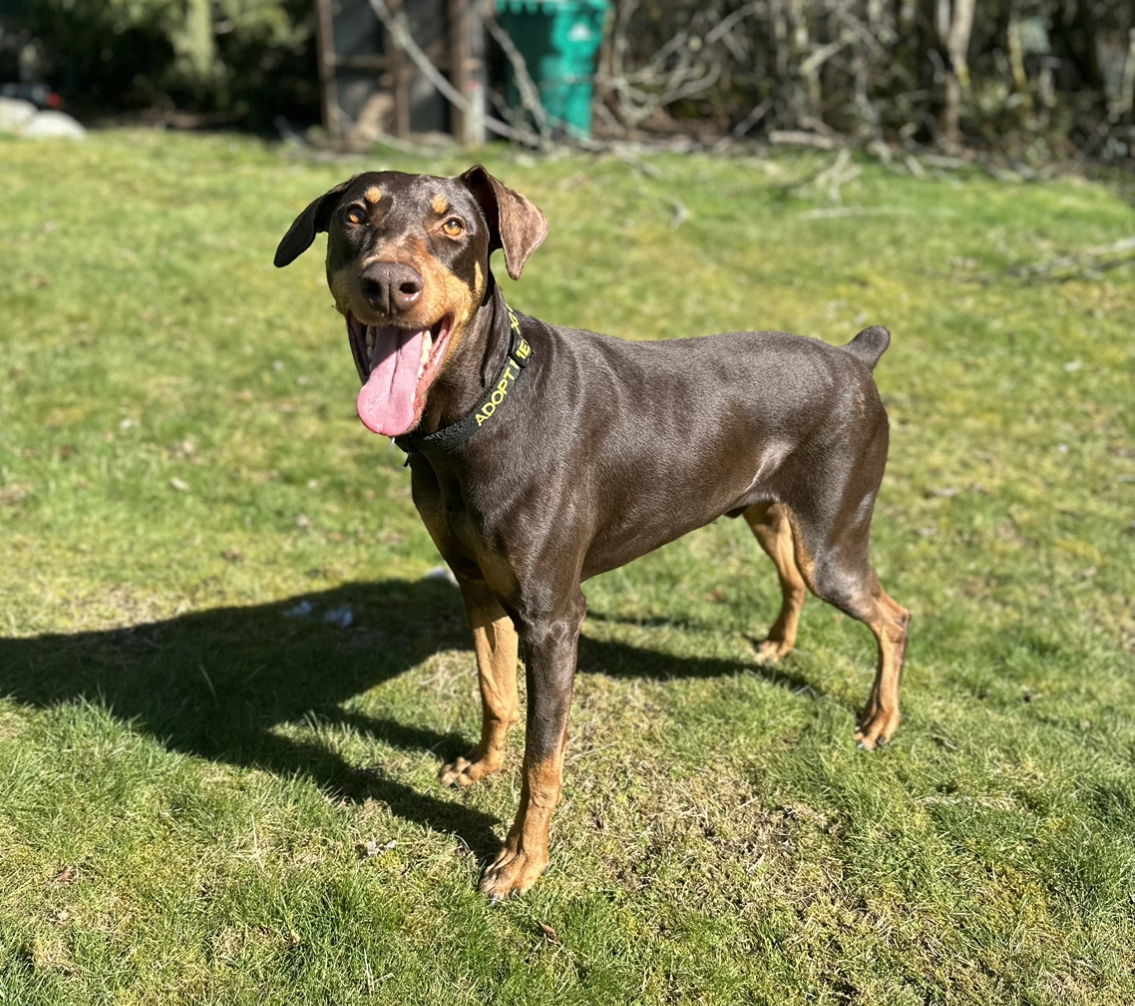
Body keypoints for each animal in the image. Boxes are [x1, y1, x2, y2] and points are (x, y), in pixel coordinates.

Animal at [270, 165, 908, 899]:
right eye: (353, 214)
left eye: (452, 225)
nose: (388, 284)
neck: (478, 417)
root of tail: (856, 356)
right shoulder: (476, 585)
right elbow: (494, 693)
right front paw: (481, 766)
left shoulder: (553, 618)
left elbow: (542, 758)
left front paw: (521, 859)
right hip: (767, 511)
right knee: (791, 576)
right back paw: (778, 644)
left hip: (833, 538)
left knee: (891, 616)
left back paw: (879, 720)